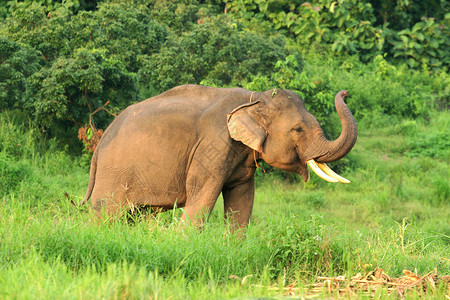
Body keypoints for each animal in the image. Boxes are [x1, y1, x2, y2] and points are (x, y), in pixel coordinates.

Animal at [81, 84, 358, 230]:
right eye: (298, 129)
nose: (345, 92)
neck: (254, 99)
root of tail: (101, 141)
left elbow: (242, 198)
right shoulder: (213, 144)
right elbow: (202, 194)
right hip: (114, 172)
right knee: (106, 212)